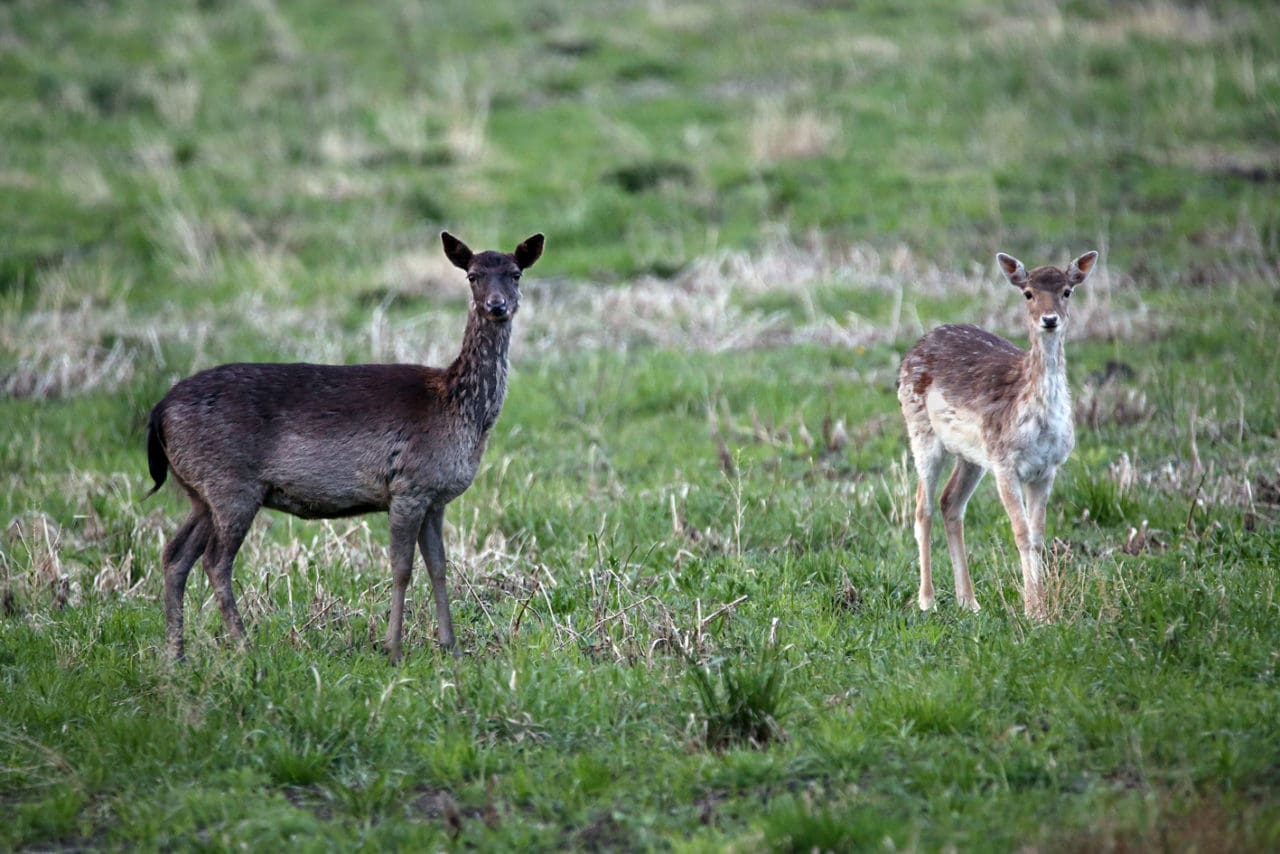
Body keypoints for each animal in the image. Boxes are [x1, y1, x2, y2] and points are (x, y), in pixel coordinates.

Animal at [145, 231, 545, 660]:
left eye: (516, 273)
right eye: (472, 275)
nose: (496, 305)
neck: (460, 410)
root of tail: (158, 412)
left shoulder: (435, 496)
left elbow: (439, 566)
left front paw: (450, 648)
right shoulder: (408, 485)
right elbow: (401, 567)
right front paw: (393, 649)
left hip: (200, 491)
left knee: (175, 555)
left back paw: (177, 654)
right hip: (231, 484)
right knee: (215, 561)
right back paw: (244, 647)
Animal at [901, 250, 1100, 617]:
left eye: (1067, 291)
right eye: (1028, 293)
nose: (1049, 319)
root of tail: (913, 349)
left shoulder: (1047, 468)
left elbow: (1038, 535)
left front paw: (1042, 608)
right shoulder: (1005, 462)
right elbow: (1021, 532)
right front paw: (1033, 610)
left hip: (972, 455)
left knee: (950, 502)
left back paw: (969, 601)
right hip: (921, 431)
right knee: (923, 506)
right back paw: (927, 600)